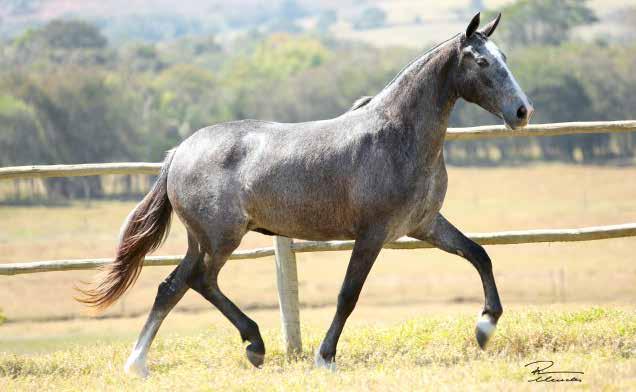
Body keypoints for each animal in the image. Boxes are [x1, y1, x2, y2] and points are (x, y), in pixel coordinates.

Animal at [80, 13, 536, 376]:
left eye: (506, 57)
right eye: (482, 61)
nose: (522, 112)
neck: (397, 136)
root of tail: (179, 152)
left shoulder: (424, 225)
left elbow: (479, 254)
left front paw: (485, 327)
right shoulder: (372, 234)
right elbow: (348, 294)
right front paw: (325, 357)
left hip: (202, 239)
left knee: (173, 286)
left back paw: (142, 363)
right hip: (221, 238)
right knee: (199, 281)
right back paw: (251, 345)